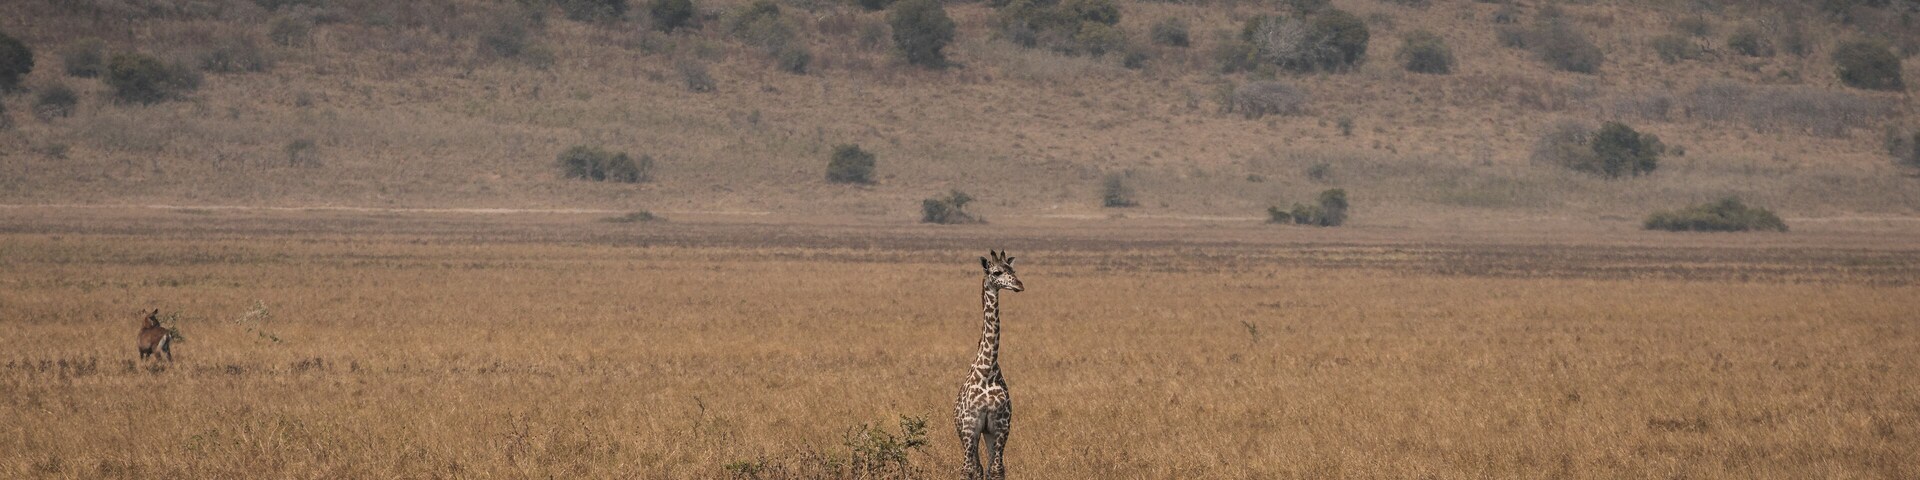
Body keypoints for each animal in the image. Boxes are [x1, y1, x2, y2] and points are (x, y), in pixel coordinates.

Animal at [955, 250, 1024, 480]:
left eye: (1013, 270)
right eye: (996, 272)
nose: (1019, 284)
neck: (987, 370)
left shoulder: (1001, 427)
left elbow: (996, 469)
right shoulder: (970, 427)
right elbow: (968, 469)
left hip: (988, 434)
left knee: (985, 467)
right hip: (967, 433)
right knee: (973, 467)